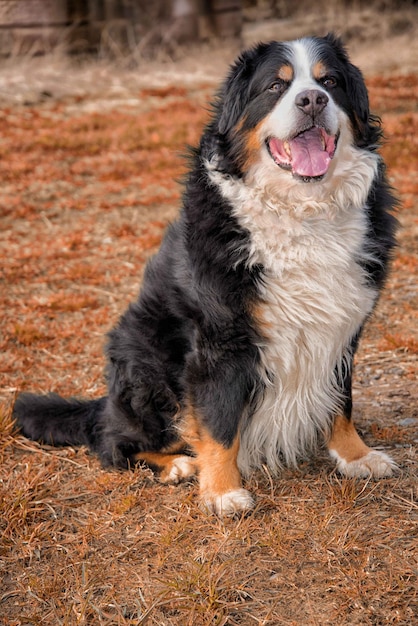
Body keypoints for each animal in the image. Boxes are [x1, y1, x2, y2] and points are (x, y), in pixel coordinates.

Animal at [13, 31, 398, 516]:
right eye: (276, 86)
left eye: (329, 81)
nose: (312, 99)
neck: (304, 211)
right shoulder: (220, 339)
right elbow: (218, 421)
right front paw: (221, 491)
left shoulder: (342, 326)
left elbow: (341, 401)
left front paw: (355, 455)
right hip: (145, 359)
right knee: (112, 442)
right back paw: (177, 463)